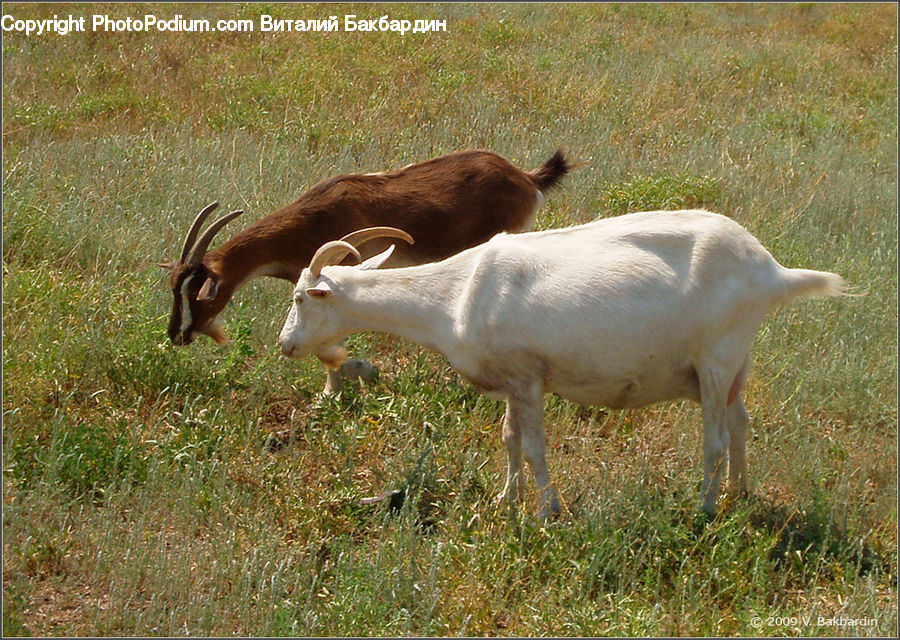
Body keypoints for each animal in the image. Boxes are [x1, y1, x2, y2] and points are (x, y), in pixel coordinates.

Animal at [158, 149, 570, 394]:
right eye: (173, 286)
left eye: (197, 291)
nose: (177, 334)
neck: (311, 218)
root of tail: (525, 177)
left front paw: (345, 381)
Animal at [277, 210, 845, 517]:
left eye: (303, 297)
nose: (284, 345)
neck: (454, 295)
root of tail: (771, 270)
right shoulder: (511, 380)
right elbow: (509, 439)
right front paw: (504, 501)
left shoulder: (529, 377)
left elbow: (533, 446)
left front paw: (547, 511)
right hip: (734, 365)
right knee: (741, 424)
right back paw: (738, 494)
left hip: (716, 359)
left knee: (717, 440)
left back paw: (702, 510)